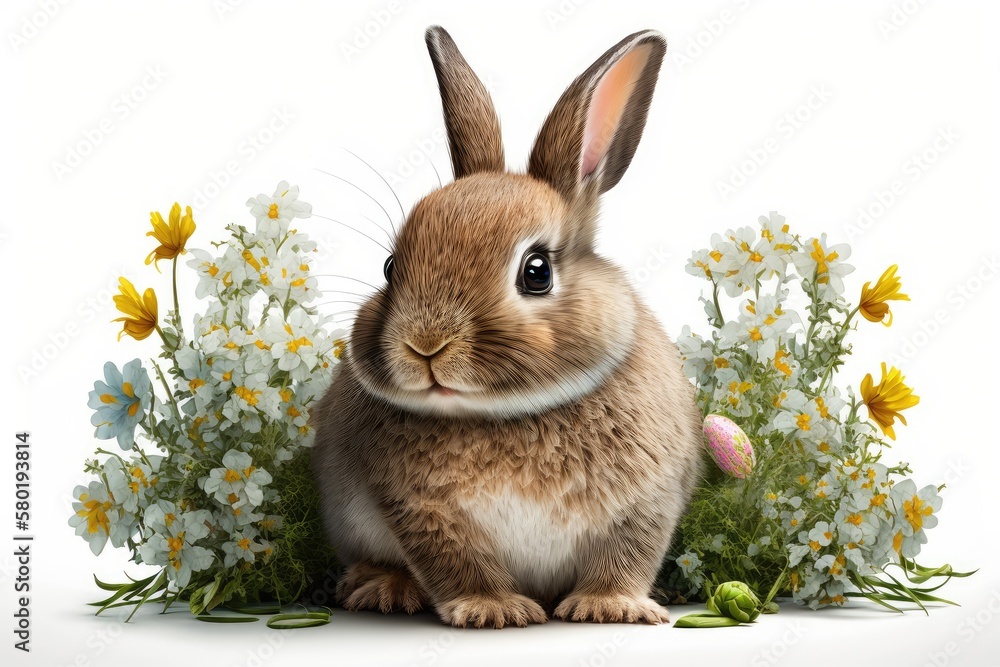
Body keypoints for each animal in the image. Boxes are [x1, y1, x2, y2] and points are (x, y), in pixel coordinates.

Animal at [310, 25, 704, 628]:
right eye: (391, 267)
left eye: (536, 271)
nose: (426, 344)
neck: (503, 413)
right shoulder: (420, 511)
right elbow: (457, 563)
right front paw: (492, 610)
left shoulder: (646, 501)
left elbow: (627, 554)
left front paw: (608, 607)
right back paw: (384, 590)